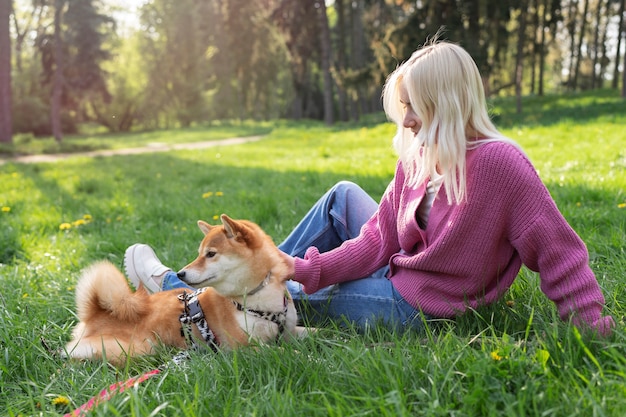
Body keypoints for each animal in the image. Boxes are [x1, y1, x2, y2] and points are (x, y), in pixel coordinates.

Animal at [64, 214, 304, 364]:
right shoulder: (242, 348)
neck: (256, 299)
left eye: (210, 254)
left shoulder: (289, 331)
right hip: (140, 347)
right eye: (199, 254)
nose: (180, 274)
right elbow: (286, 352)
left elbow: (309, 334)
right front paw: (307, 357)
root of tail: (96, 313)